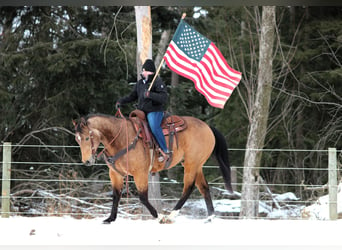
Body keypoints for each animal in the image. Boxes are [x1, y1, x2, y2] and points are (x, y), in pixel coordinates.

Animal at [72, 110, 232, 224]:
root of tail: (207, 126)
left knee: (189, 187)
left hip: (191, 164)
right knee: (204, 187)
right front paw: (110, 218)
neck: (122, 138)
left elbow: (143, 197)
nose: (86, 161)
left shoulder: (140, 173)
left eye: (87, 138)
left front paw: (159, 216)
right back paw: (210, 217)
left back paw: (171, 215)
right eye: (77, 139)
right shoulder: (115, 174)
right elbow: (116, 195)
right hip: (196, 165)